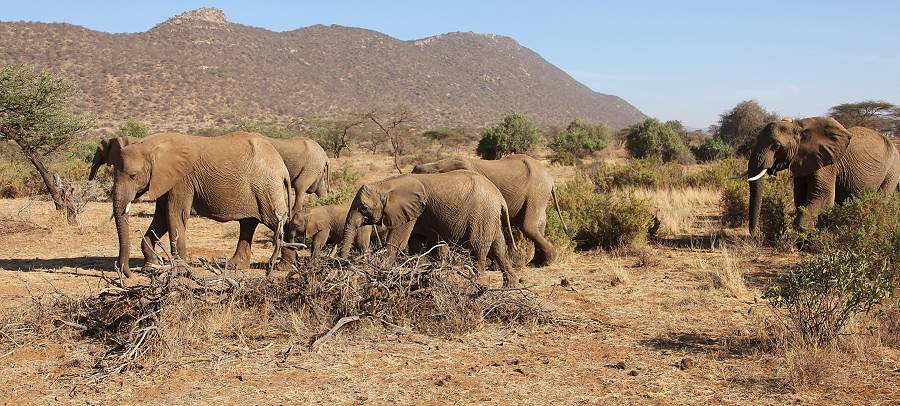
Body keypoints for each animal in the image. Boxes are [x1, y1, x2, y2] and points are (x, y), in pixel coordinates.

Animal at [108, 132, 292, 278]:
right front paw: (150, 267)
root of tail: (282, 166)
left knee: (276, 221)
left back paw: (285, 267)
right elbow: (161, 218)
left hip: (266, 188)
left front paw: (179, 271)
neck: (150, 146)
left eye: (133, 176)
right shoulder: (165, 180)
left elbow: (174, 215)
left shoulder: (182, 180)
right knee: (248, 223)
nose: (127, 274)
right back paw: (236, 266)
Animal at [338, 171, 520, 288]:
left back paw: (478, 285)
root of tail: (499, 196)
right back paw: (509, 286)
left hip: (482, 213)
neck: (385, 184)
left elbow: (397, 241)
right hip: (489, 215)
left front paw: (382, 273)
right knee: (498, 247)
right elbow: (416, 243)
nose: (345, 265)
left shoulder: (409, 212)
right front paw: (417, 273)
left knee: (478, 248)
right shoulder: (416, 213)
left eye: (364, 208)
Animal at [412, 153, 568, 266]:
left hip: (536, 192)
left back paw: (544, 262)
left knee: (528, 226)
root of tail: (550, 179)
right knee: (537, 226)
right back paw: (535, 263)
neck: (437, 165)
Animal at [744, 116, 900, 235]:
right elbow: (800, 198)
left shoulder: (827, 165)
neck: (799, 127)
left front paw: (806, 238)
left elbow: (822, 197)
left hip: (892, 171)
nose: (756, 235)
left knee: (880, 201)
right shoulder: (802, 162)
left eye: (776, 146)